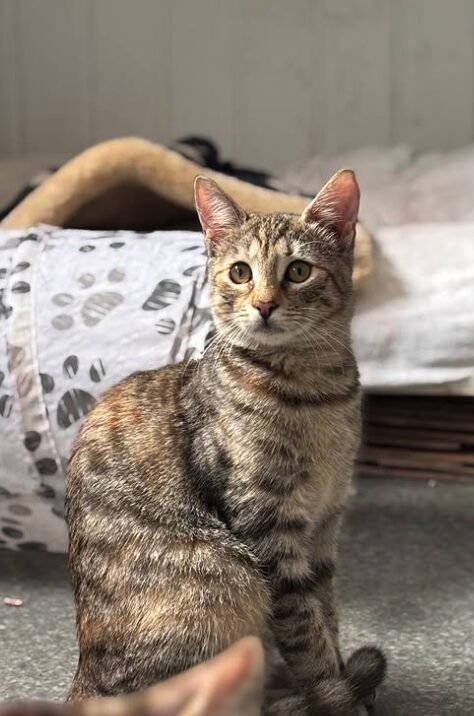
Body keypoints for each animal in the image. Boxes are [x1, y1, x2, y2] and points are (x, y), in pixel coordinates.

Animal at [65, 171, 386, 712]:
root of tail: (84, 684)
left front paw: (343, 682)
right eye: (240, 272)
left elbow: (327, 614)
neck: (315, 391)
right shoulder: (267, 527)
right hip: (224, 577)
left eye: (299, 270)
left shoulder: (325, 524)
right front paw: (334, 691)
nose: (264, 304)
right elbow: (306, 630)